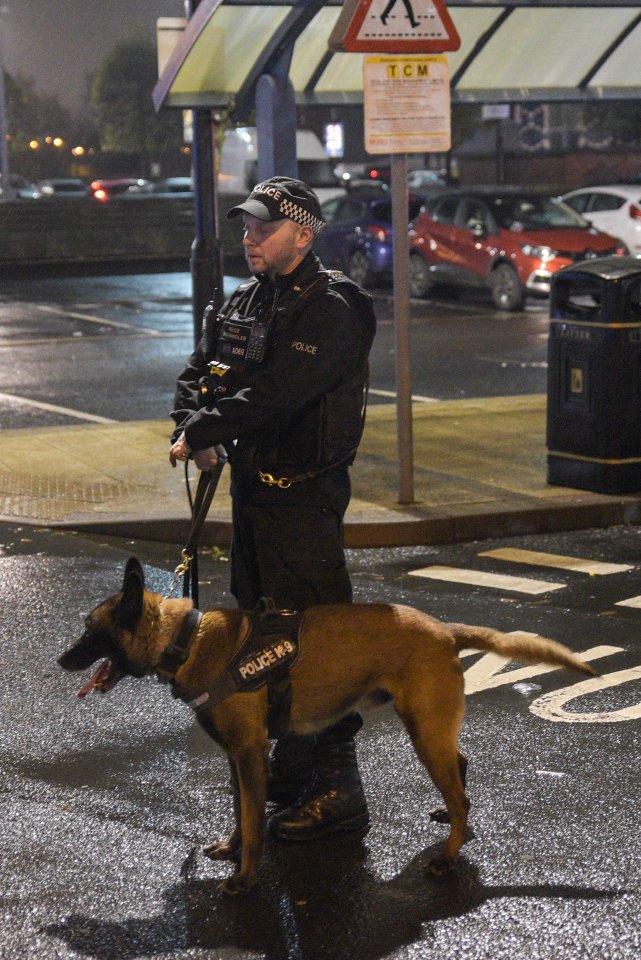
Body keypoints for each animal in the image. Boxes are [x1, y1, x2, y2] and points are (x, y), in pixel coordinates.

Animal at [57, 560, 592, 896]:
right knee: (460, 766)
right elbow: (240, 814)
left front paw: (245, 878)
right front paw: (232, 849)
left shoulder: (249, 755)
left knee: (458, 790)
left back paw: (448, 854)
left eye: (89, 630)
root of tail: (446, 630)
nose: (60, 660)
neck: (185, 640)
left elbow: (253, 822)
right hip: (431, 728)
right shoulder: (238, 758)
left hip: (423, 731)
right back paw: (451, 818)